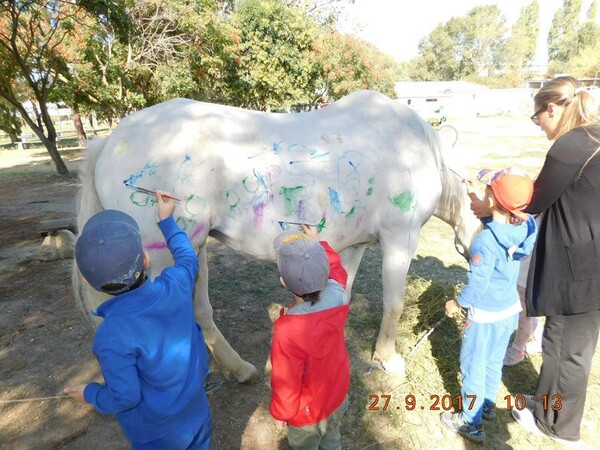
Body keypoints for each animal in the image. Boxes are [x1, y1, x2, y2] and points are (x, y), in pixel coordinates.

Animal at [74, 91, 478, 384]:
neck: (418, 150)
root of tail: (110, 141)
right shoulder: (399, 238)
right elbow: (393, 303)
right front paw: (387, 360)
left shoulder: (354, 246)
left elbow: (342, 296)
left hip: (193, 248)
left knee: (200, 311)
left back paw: (237, 369)